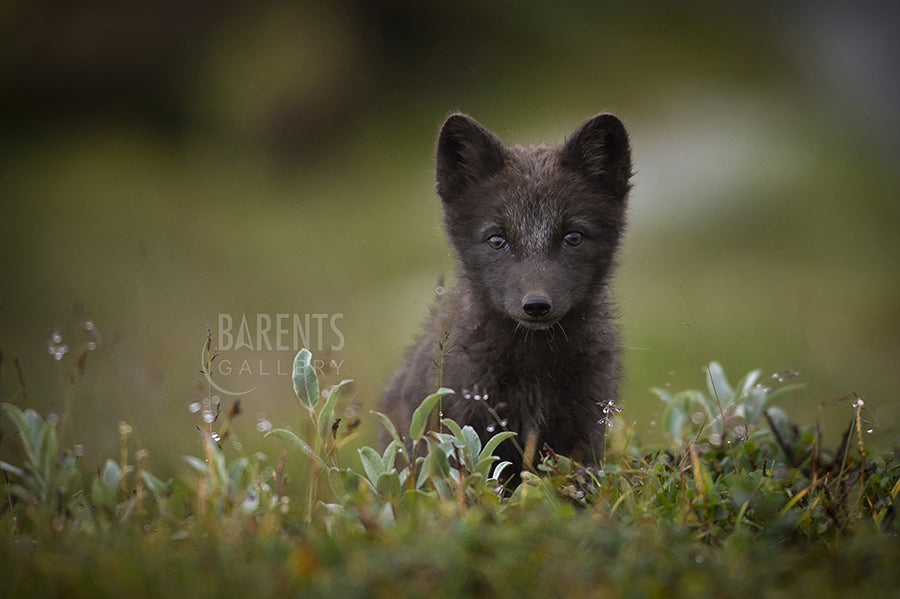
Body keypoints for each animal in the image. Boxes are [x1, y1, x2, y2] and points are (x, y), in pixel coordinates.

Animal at [384, 111, 628, 474]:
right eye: (497, 240)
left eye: (573, 237)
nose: (537, 305)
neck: (535, 370)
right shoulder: (464, 426)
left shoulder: (588, 425)